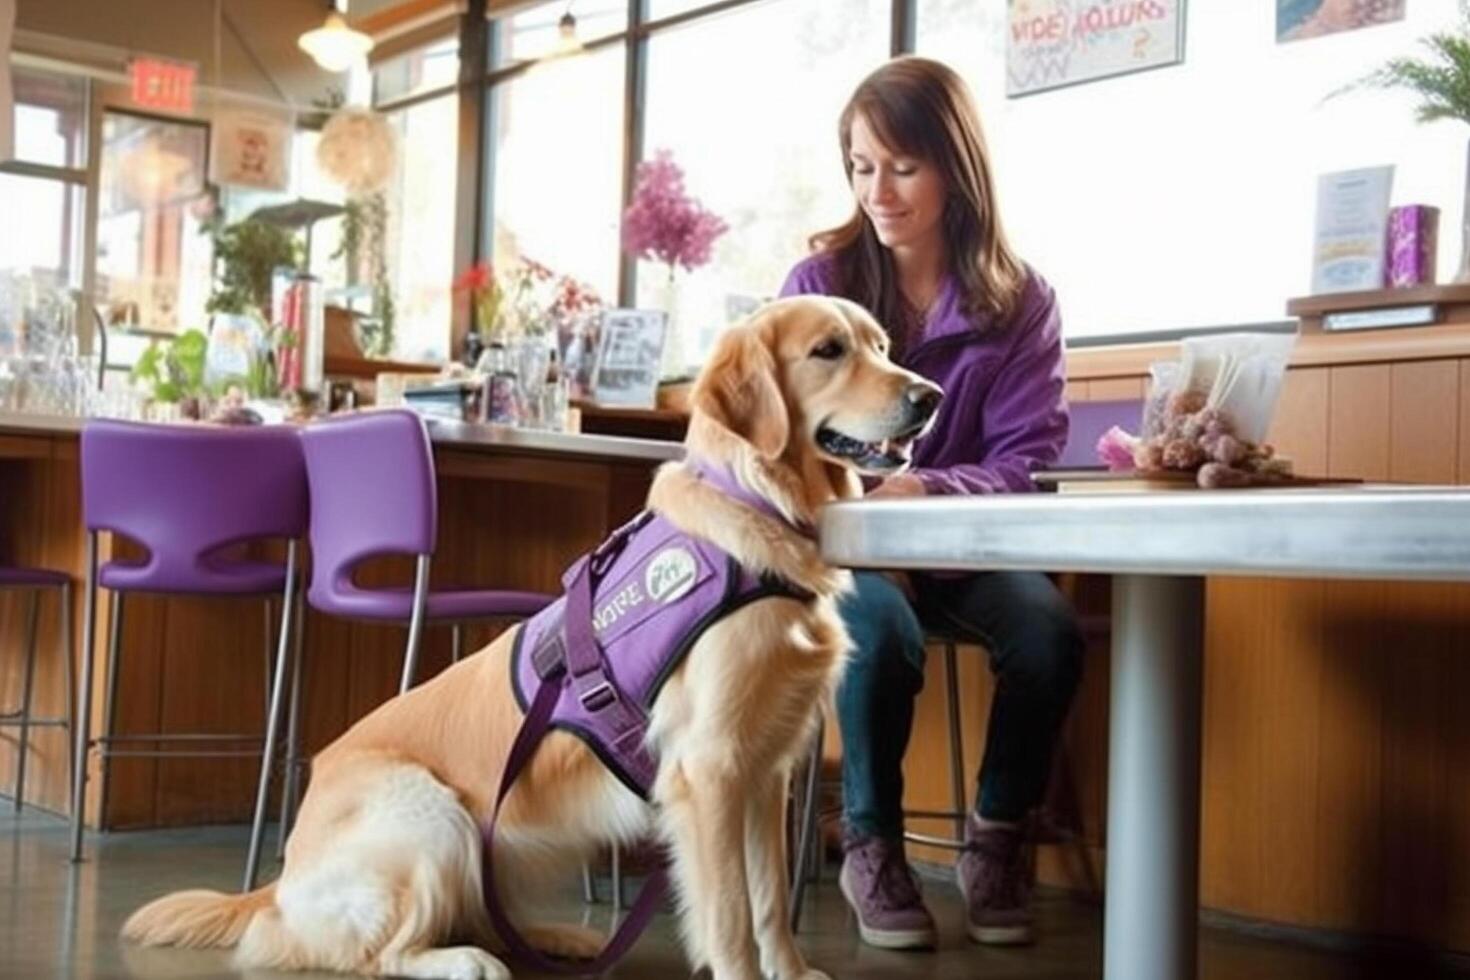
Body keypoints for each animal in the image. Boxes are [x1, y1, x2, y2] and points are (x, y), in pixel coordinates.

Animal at [123, 296, 940, 980]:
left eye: (881, 344)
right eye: (828, 350)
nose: (929, 398)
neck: (760, 513)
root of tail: (278, 883)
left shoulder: (766, 773)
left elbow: (770, 902)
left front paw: (793, 974)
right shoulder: (708, 769)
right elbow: (732, 912)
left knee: (479, 914)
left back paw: (556, 937)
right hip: (434, 817)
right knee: (376, 951)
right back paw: (463, 962)